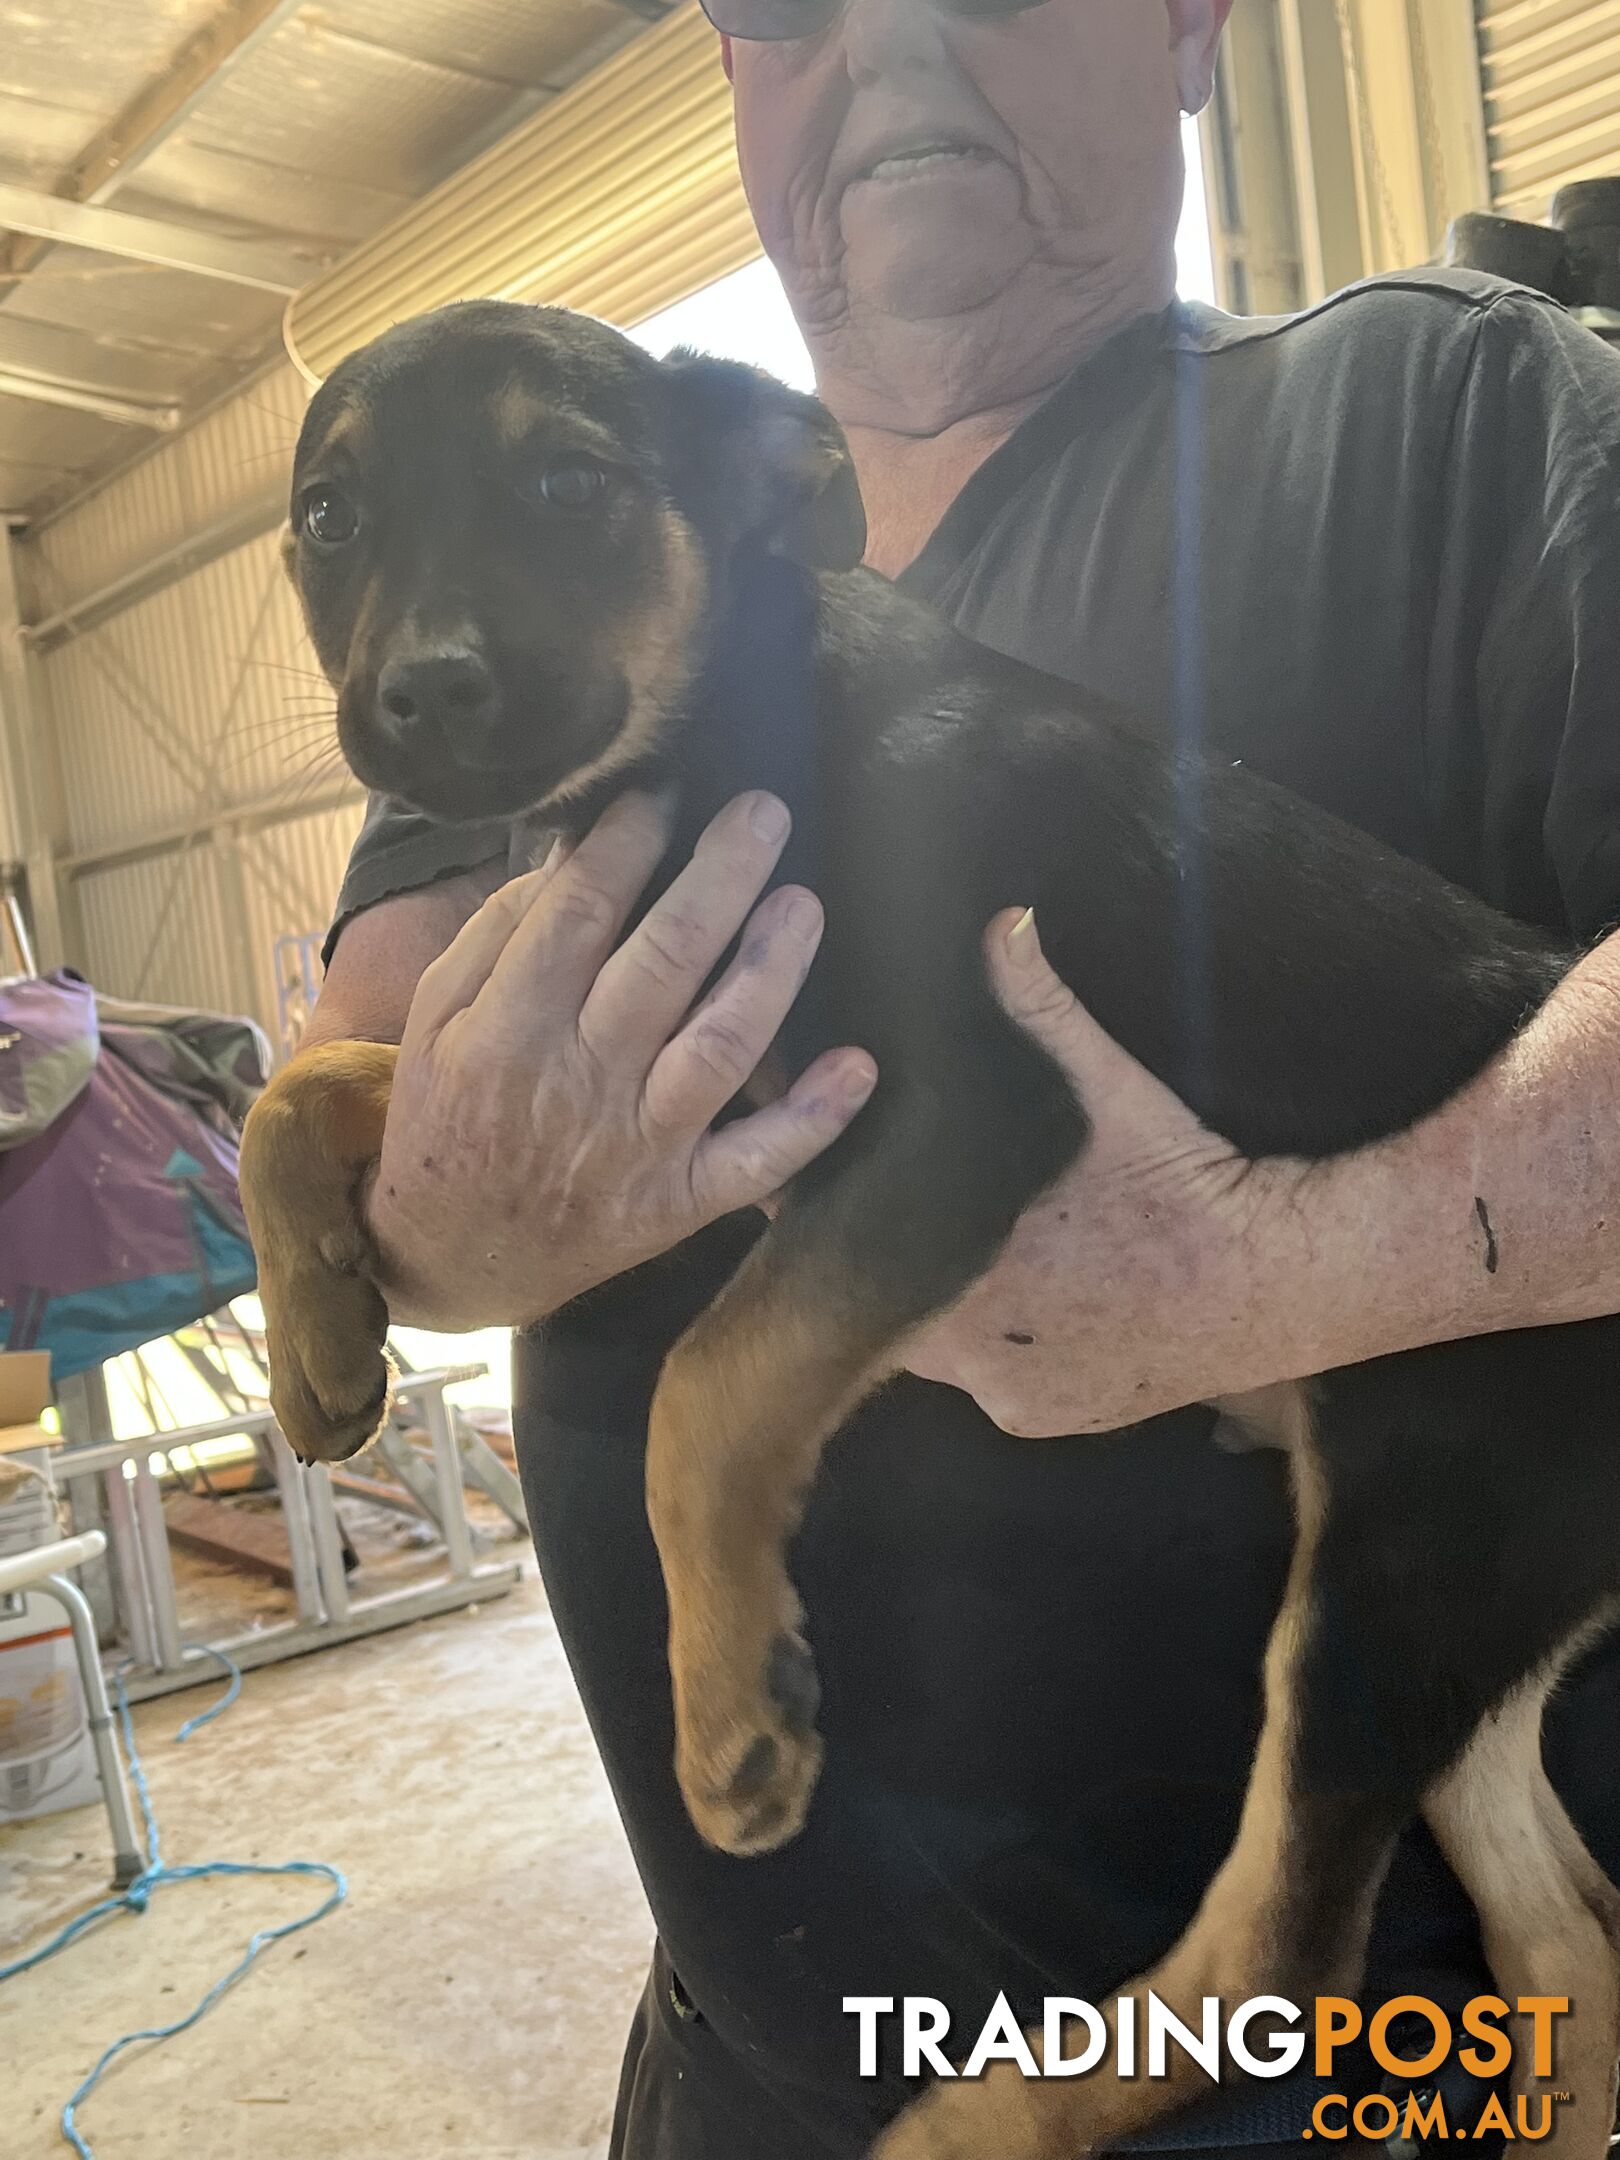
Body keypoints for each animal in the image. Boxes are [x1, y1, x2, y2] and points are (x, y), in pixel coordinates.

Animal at [240, 300, 1620, 2160]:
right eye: (329, 521)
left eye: (569, 482)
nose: (425, 692)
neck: (739, 732)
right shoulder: (624, 1084)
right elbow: (305, 1082)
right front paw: (316, 1354)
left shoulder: (971, 1109)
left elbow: (706, 1384)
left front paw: (734, 1712)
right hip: (1454, 1591)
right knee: (1555, 1925)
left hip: (1412, 1540)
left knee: (1289, 1950)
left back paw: (982, 2120)